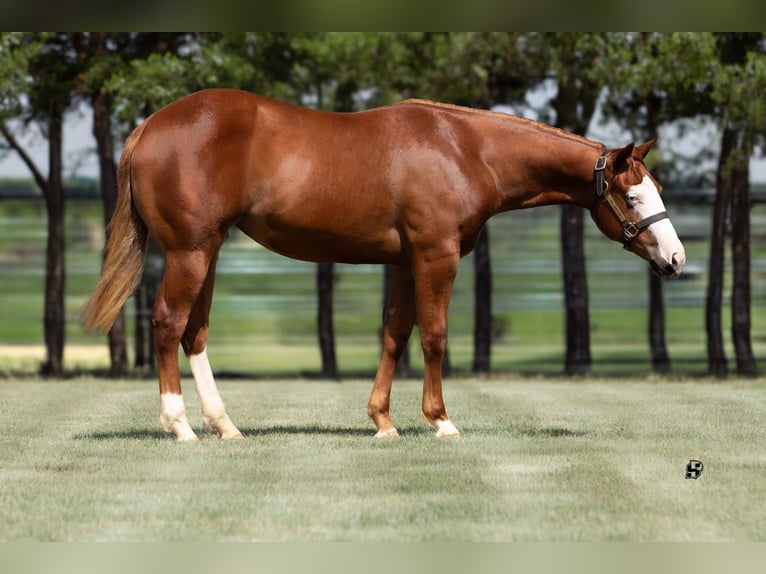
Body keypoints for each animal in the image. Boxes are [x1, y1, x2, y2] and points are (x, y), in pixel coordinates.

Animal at [84, 89, 688, 440]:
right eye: (633, 197)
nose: (675, 257)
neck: (465, 149)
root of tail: (150, 126)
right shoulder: (436, 256)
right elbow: (435, 337)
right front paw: (441, 422)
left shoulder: (403, 262)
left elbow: (396, 335)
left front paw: (383, 422)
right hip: (189, 252)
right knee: (168, 324)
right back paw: (181, 427)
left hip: (206, 251)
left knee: (196, 333)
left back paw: (224, 426)